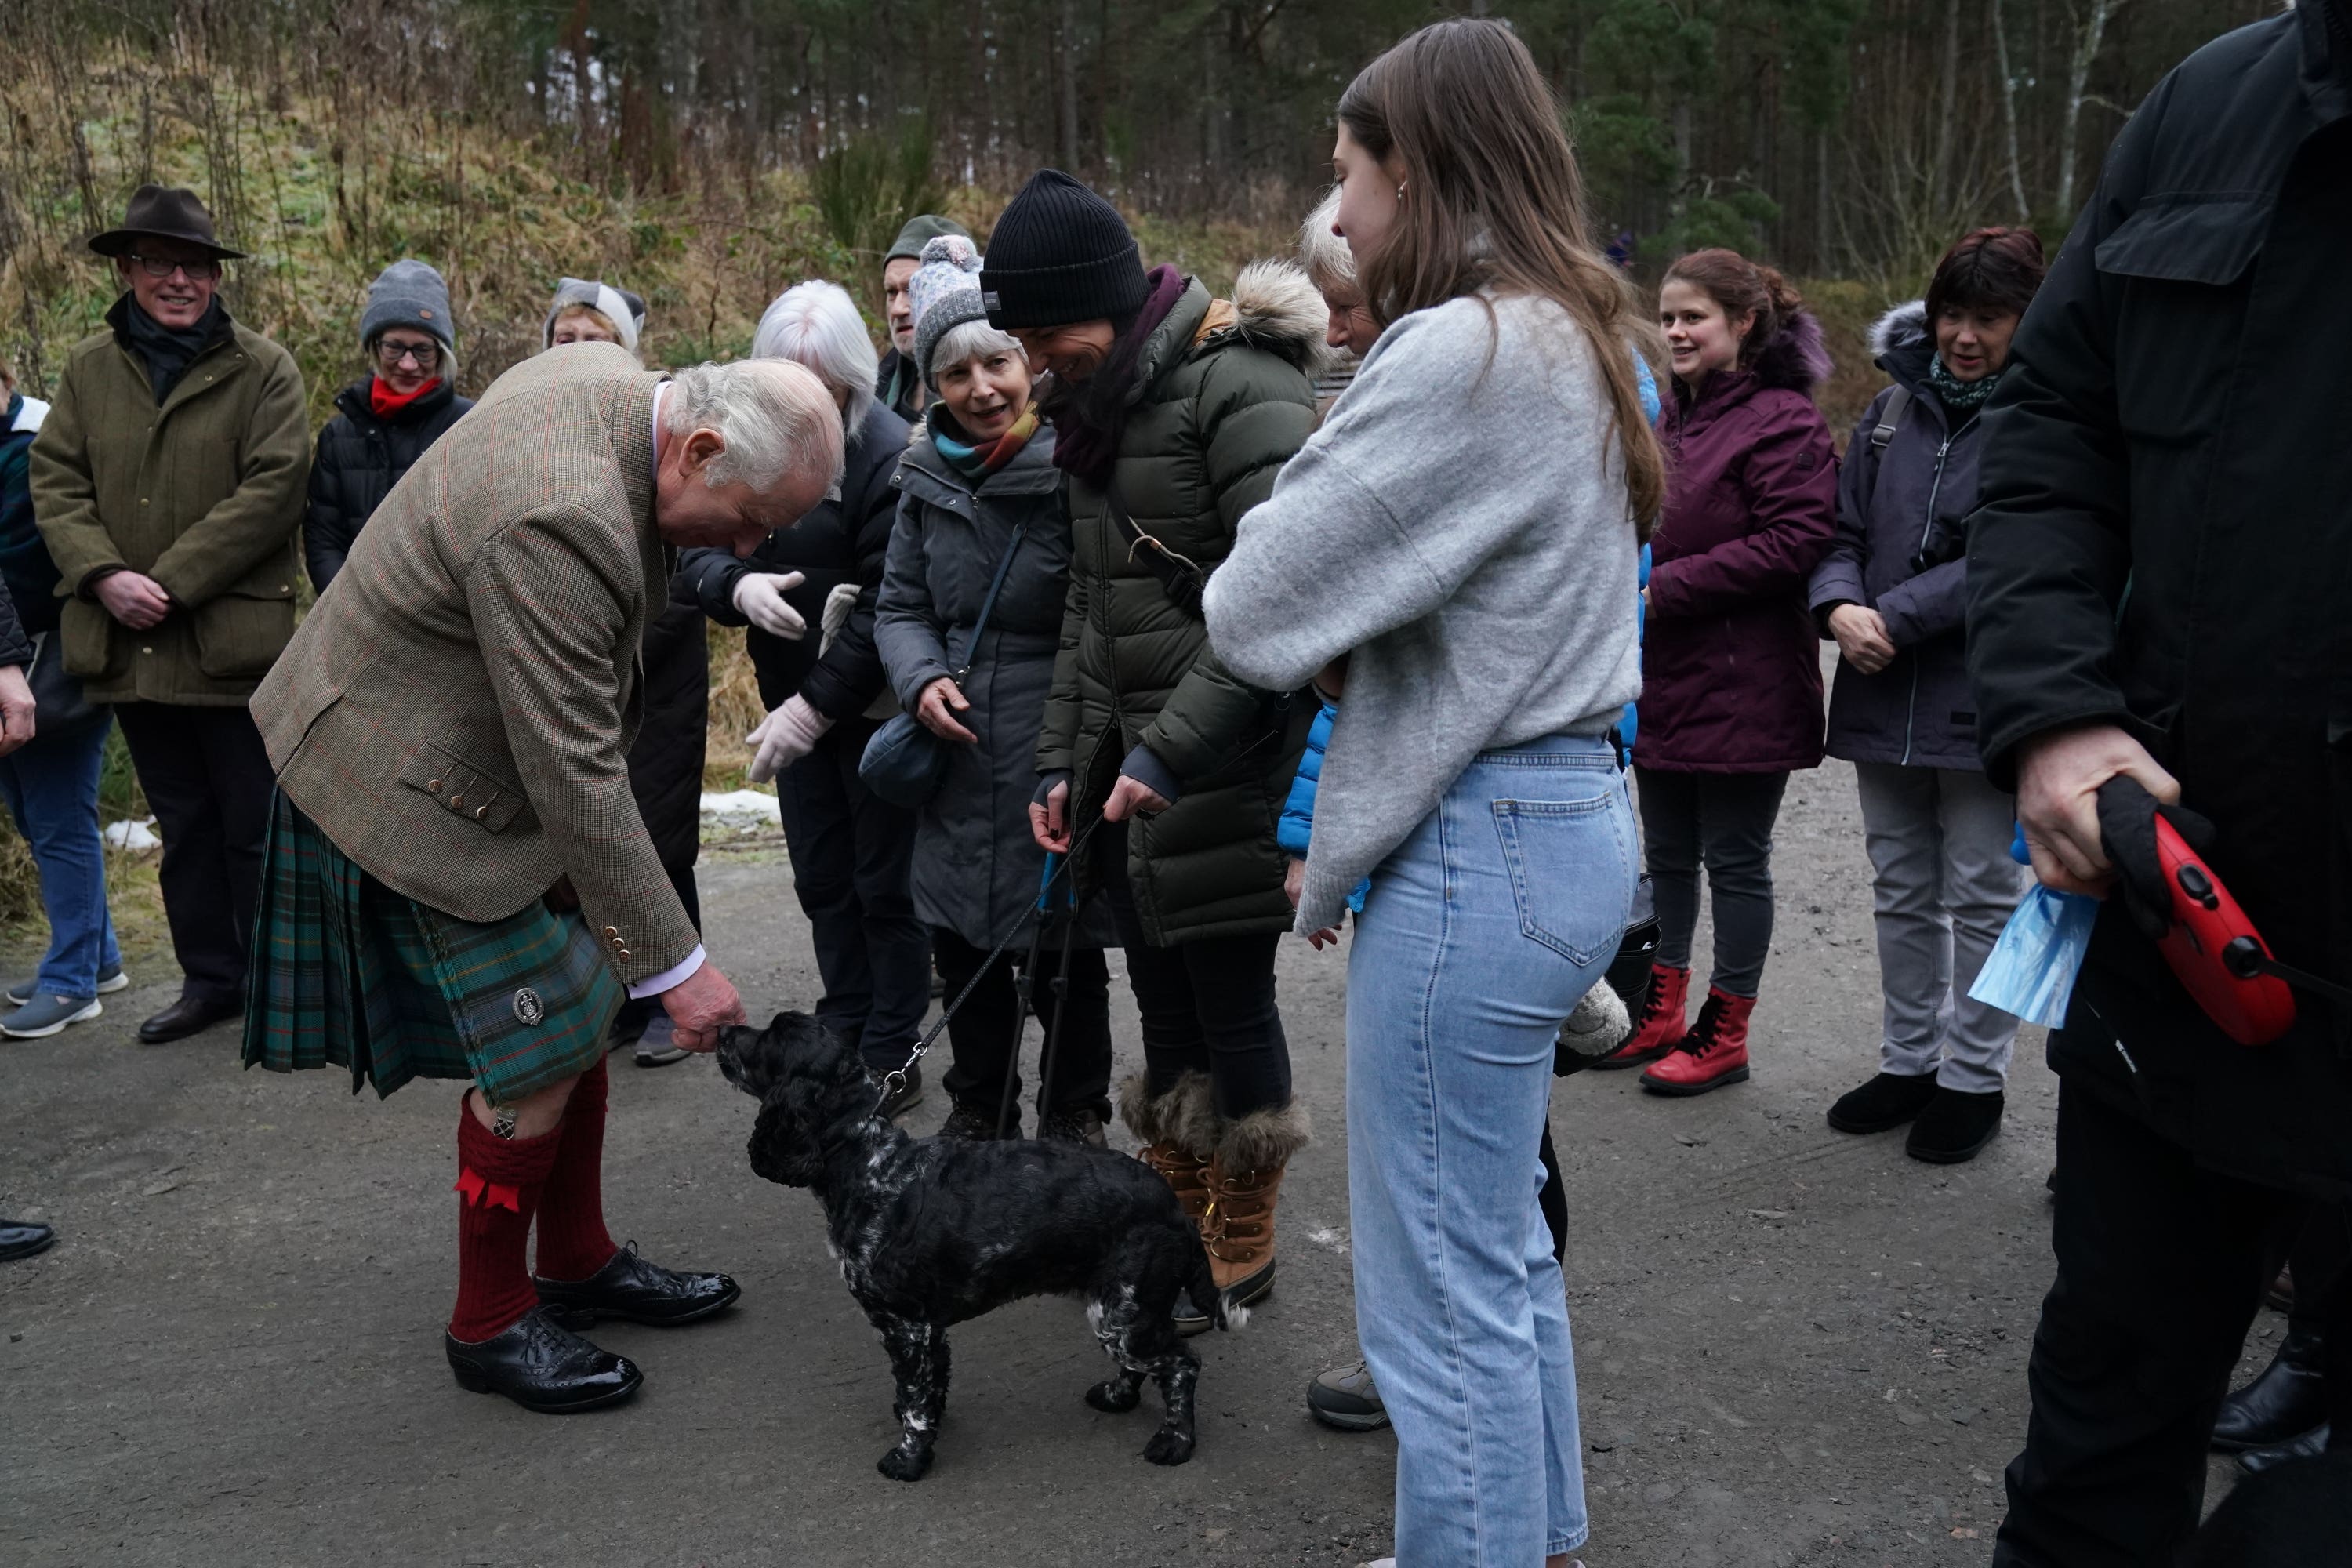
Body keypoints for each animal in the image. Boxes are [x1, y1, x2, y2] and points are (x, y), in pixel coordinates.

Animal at [710, 1011, 1232, 1476]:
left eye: (771, 1036)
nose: (721, 1030)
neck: (868, 1160)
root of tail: (1175, 1210)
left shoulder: (904, 1325)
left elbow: (915, 1402)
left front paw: (909, 1460)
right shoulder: (927, 1328)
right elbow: (927, 1387)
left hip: (1123, 1313)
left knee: (1183, 1364)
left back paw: (1174, 1441)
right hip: (1121, 1310)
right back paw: (1117, 1396)